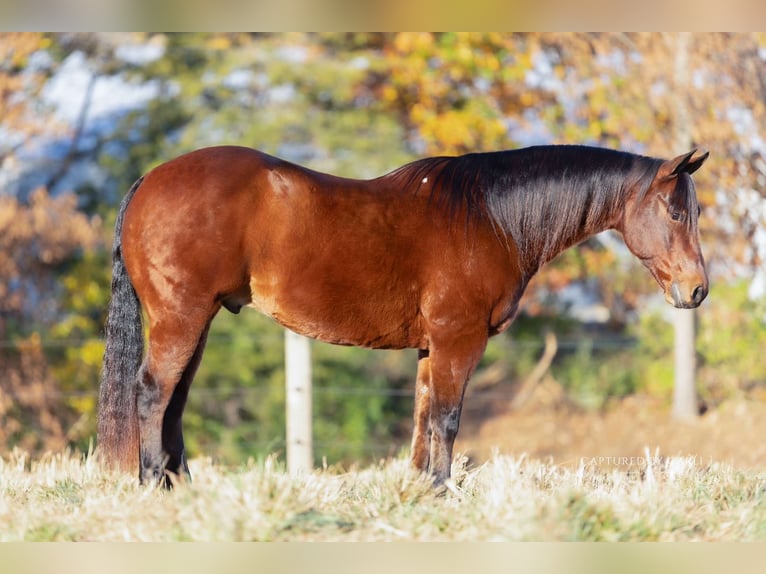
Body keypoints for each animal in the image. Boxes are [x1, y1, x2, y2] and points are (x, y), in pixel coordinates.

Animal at [97, 144, 712, 486]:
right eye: (676, 212)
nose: (697, 290)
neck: (489, 218)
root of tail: (149, 180)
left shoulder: (430, 345)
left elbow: (422, 416)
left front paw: (418, 490)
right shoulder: (459, 340)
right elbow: (448, 418)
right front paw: (441, 491)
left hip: (195, 323)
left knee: (174, 399)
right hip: (181, 319)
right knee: (153, 392)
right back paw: (153, 484)